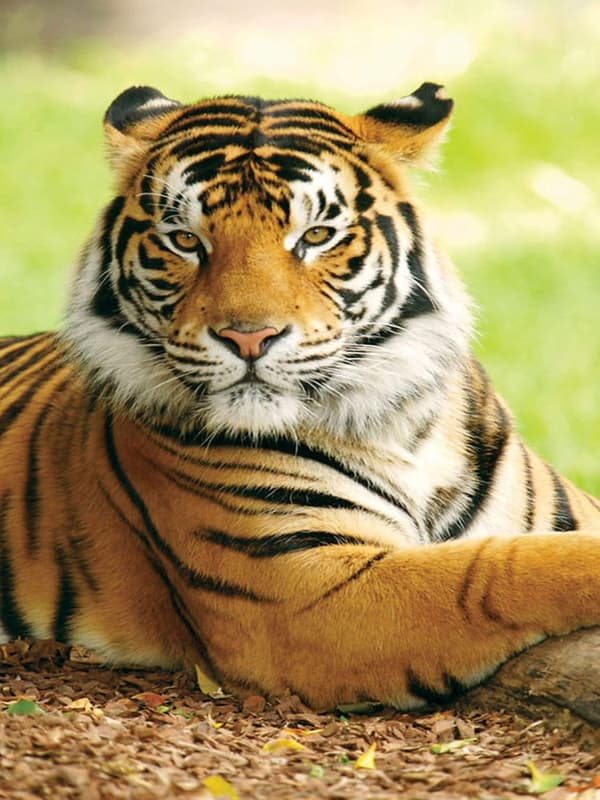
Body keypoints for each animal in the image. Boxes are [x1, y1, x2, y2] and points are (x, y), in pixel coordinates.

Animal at [1, 82, 599, 711]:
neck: (402, 427)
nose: (248, 337)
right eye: (185, 240)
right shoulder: (302, 591)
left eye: (315, 236)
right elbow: (498, 571)